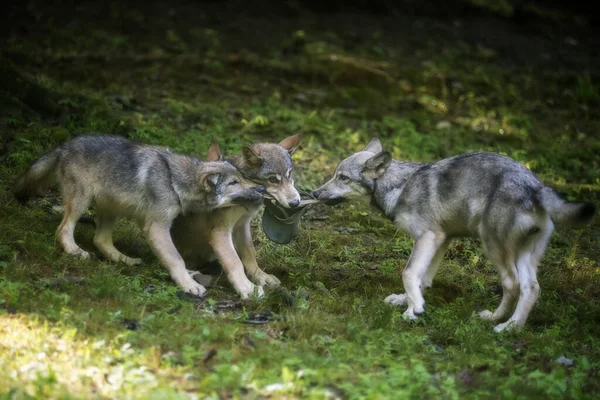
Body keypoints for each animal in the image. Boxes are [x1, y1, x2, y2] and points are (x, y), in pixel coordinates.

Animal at [11, 134, 264, 296]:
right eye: (234, 183)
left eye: (243, 176)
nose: (261, 189)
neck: (175, 181)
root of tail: (65, 145)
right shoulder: (157, 228)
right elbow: (176, 258)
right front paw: (188, 284)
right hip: (81, 202)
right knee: (63, 229)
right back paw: (75, 251)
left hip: (111, 209)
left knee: (100, 240)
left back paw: (126, 260)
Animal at [171, 133, 302, 298]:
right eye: (273, 179)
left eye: (289, 174)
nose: (295, 202)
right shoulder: (220, 233)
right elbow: (235, 261)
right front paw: (247, 288)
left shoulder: (242, 225)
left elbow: (250, 254)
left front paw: (261, 277)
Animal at [314, 138, 596, 332]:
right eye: (335, 175)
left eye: (342, 177)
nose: (315, 193)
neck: (400, 186)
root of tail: (536, 185)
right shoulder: (441, 239)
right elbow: (422, 279)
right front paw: (409, 302)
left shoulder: (427, 237)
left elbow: (408, 273)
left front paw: (413, 311)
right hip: (523, 255)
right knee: (532, 288)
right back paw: (511, 327)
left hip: (493, 247)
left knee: (512, 285)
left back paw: (497, 321)